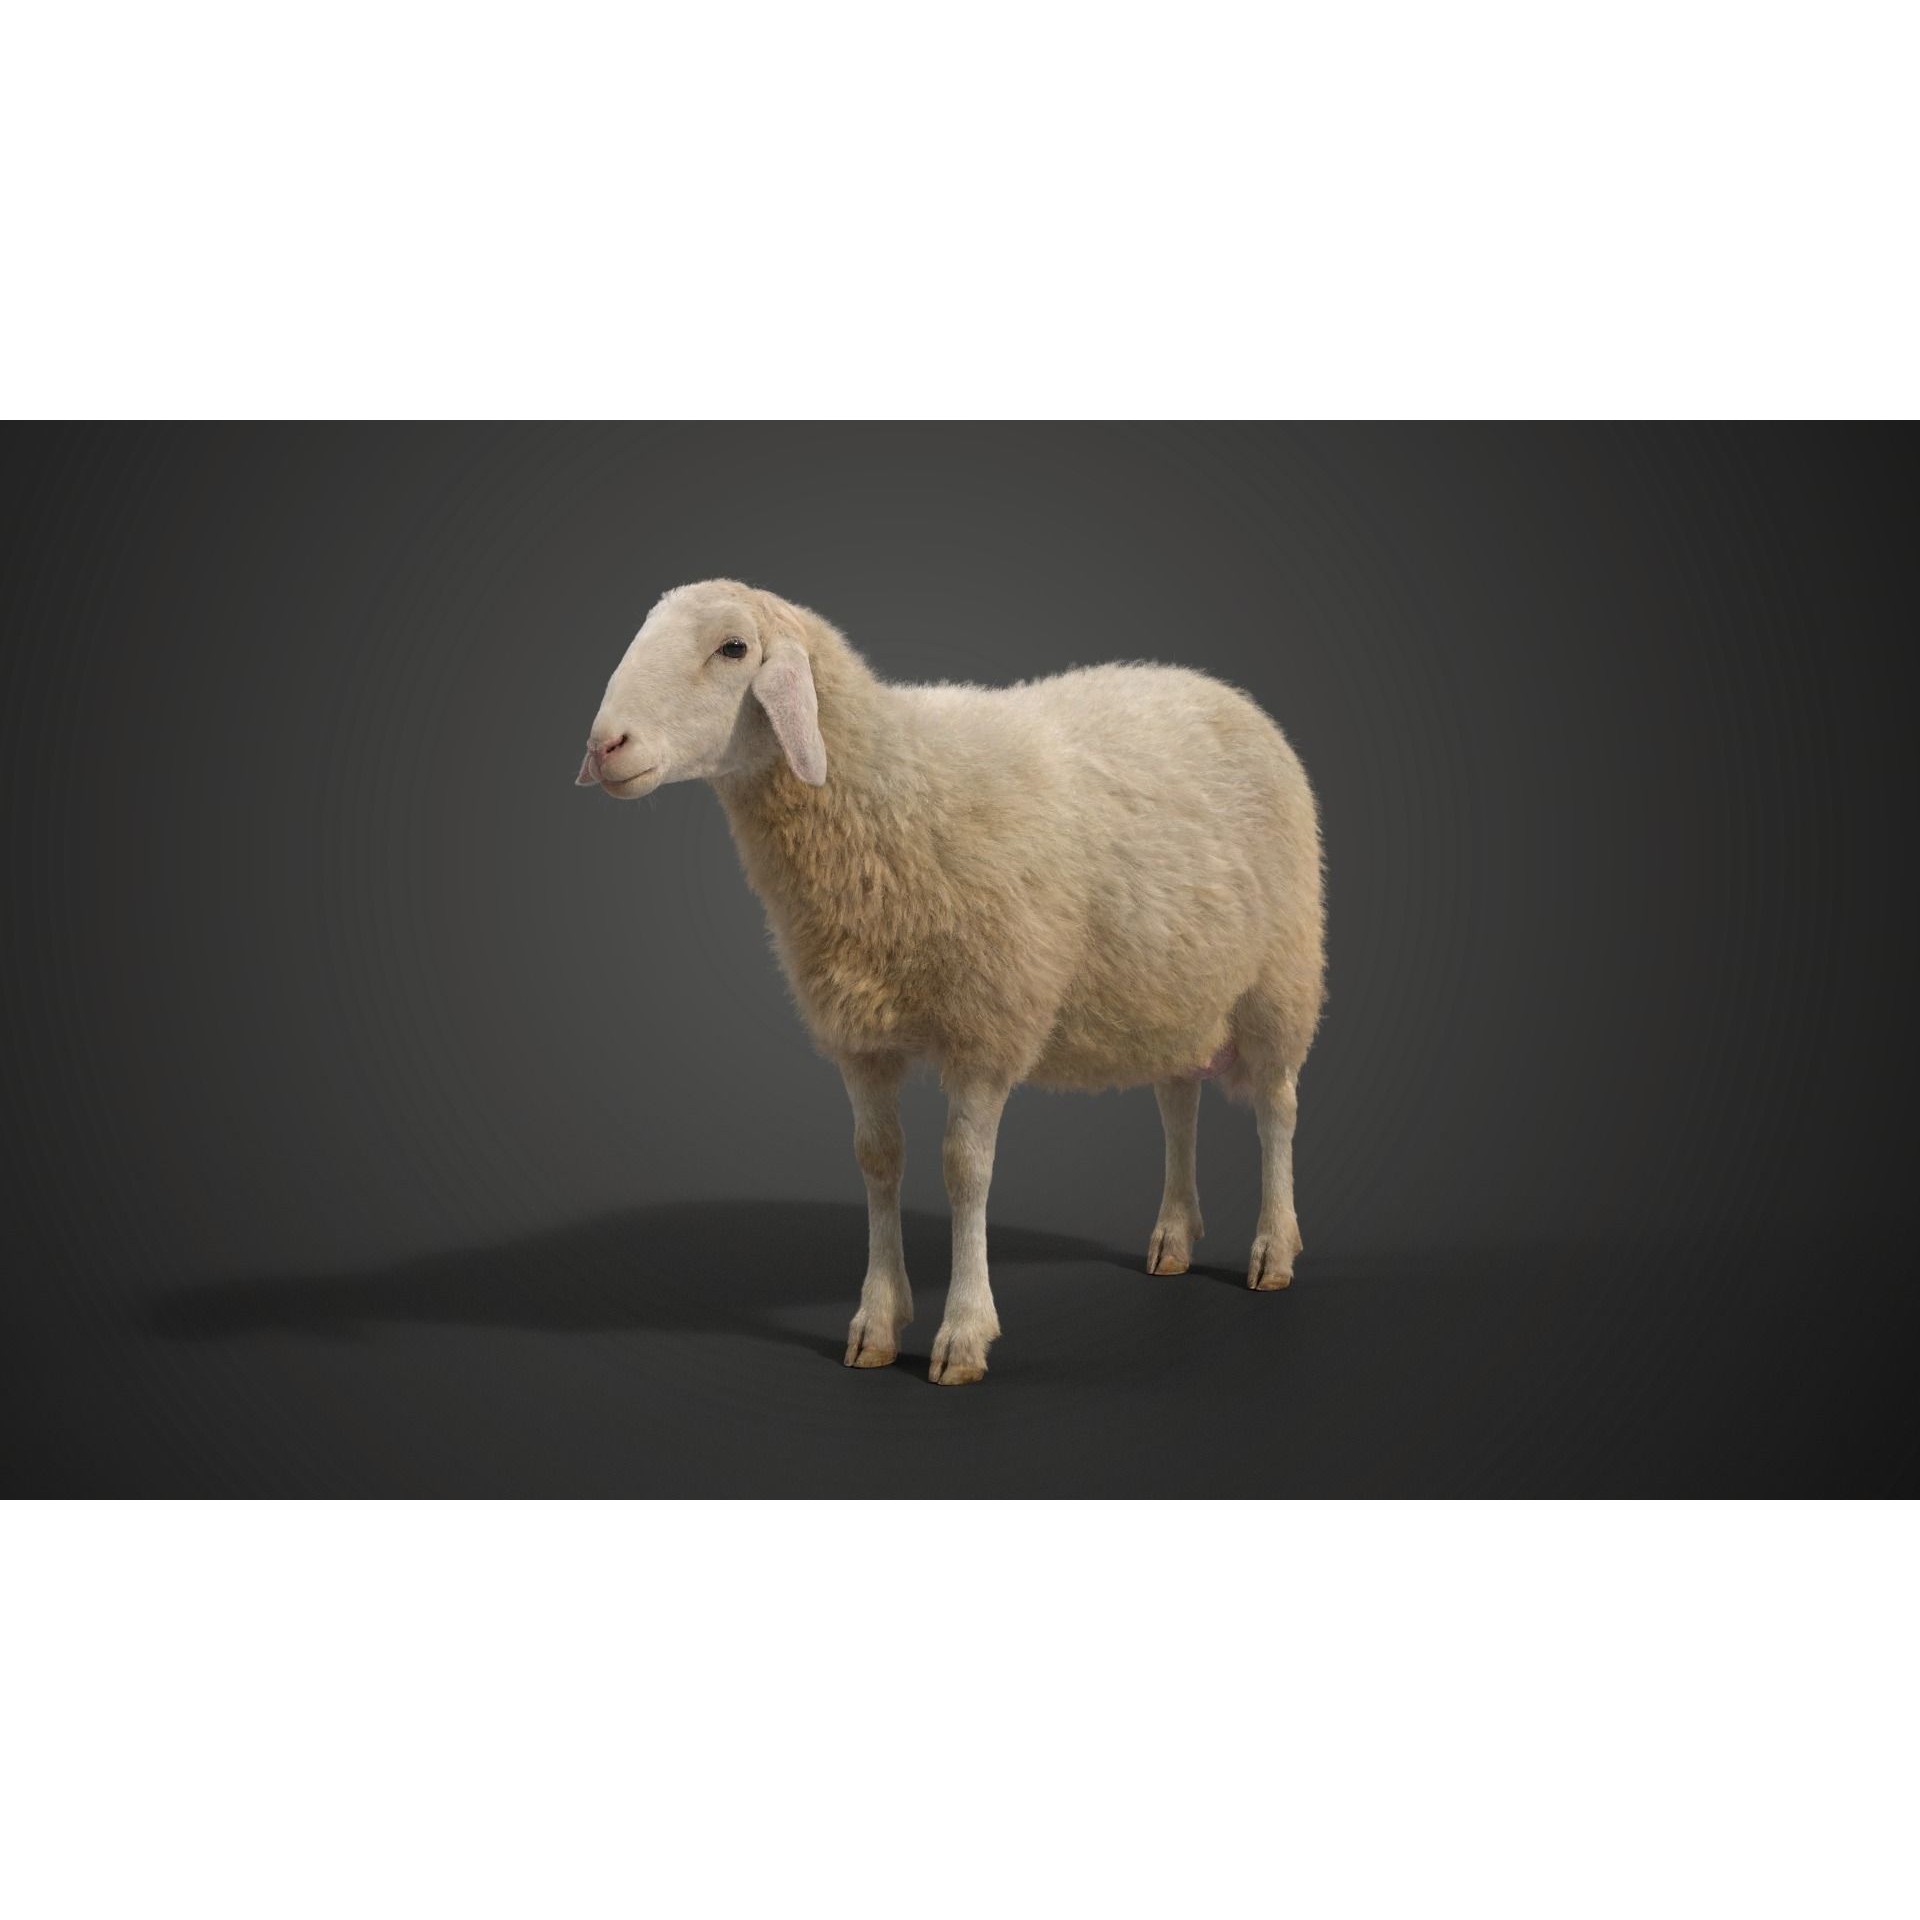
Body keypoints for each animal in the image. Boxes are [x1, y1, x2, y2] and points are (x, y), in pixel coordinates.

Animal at [575, 580, 1326, 1385]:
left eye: (734, 648)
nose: (604, 746)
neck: (887, 784)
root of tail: (1219, 688)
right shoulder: (862, 1038)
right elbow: (878, 1162)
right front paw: (876, 1323)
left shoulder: (984, 1028)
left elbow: (965, 1171)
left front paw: (963, 1333)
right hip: (1174, 989)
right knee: (1178, 1101)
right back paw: (1174, 1239)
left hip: (1280, 980)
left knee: (1278, 1108)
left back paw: (1273, 1251)